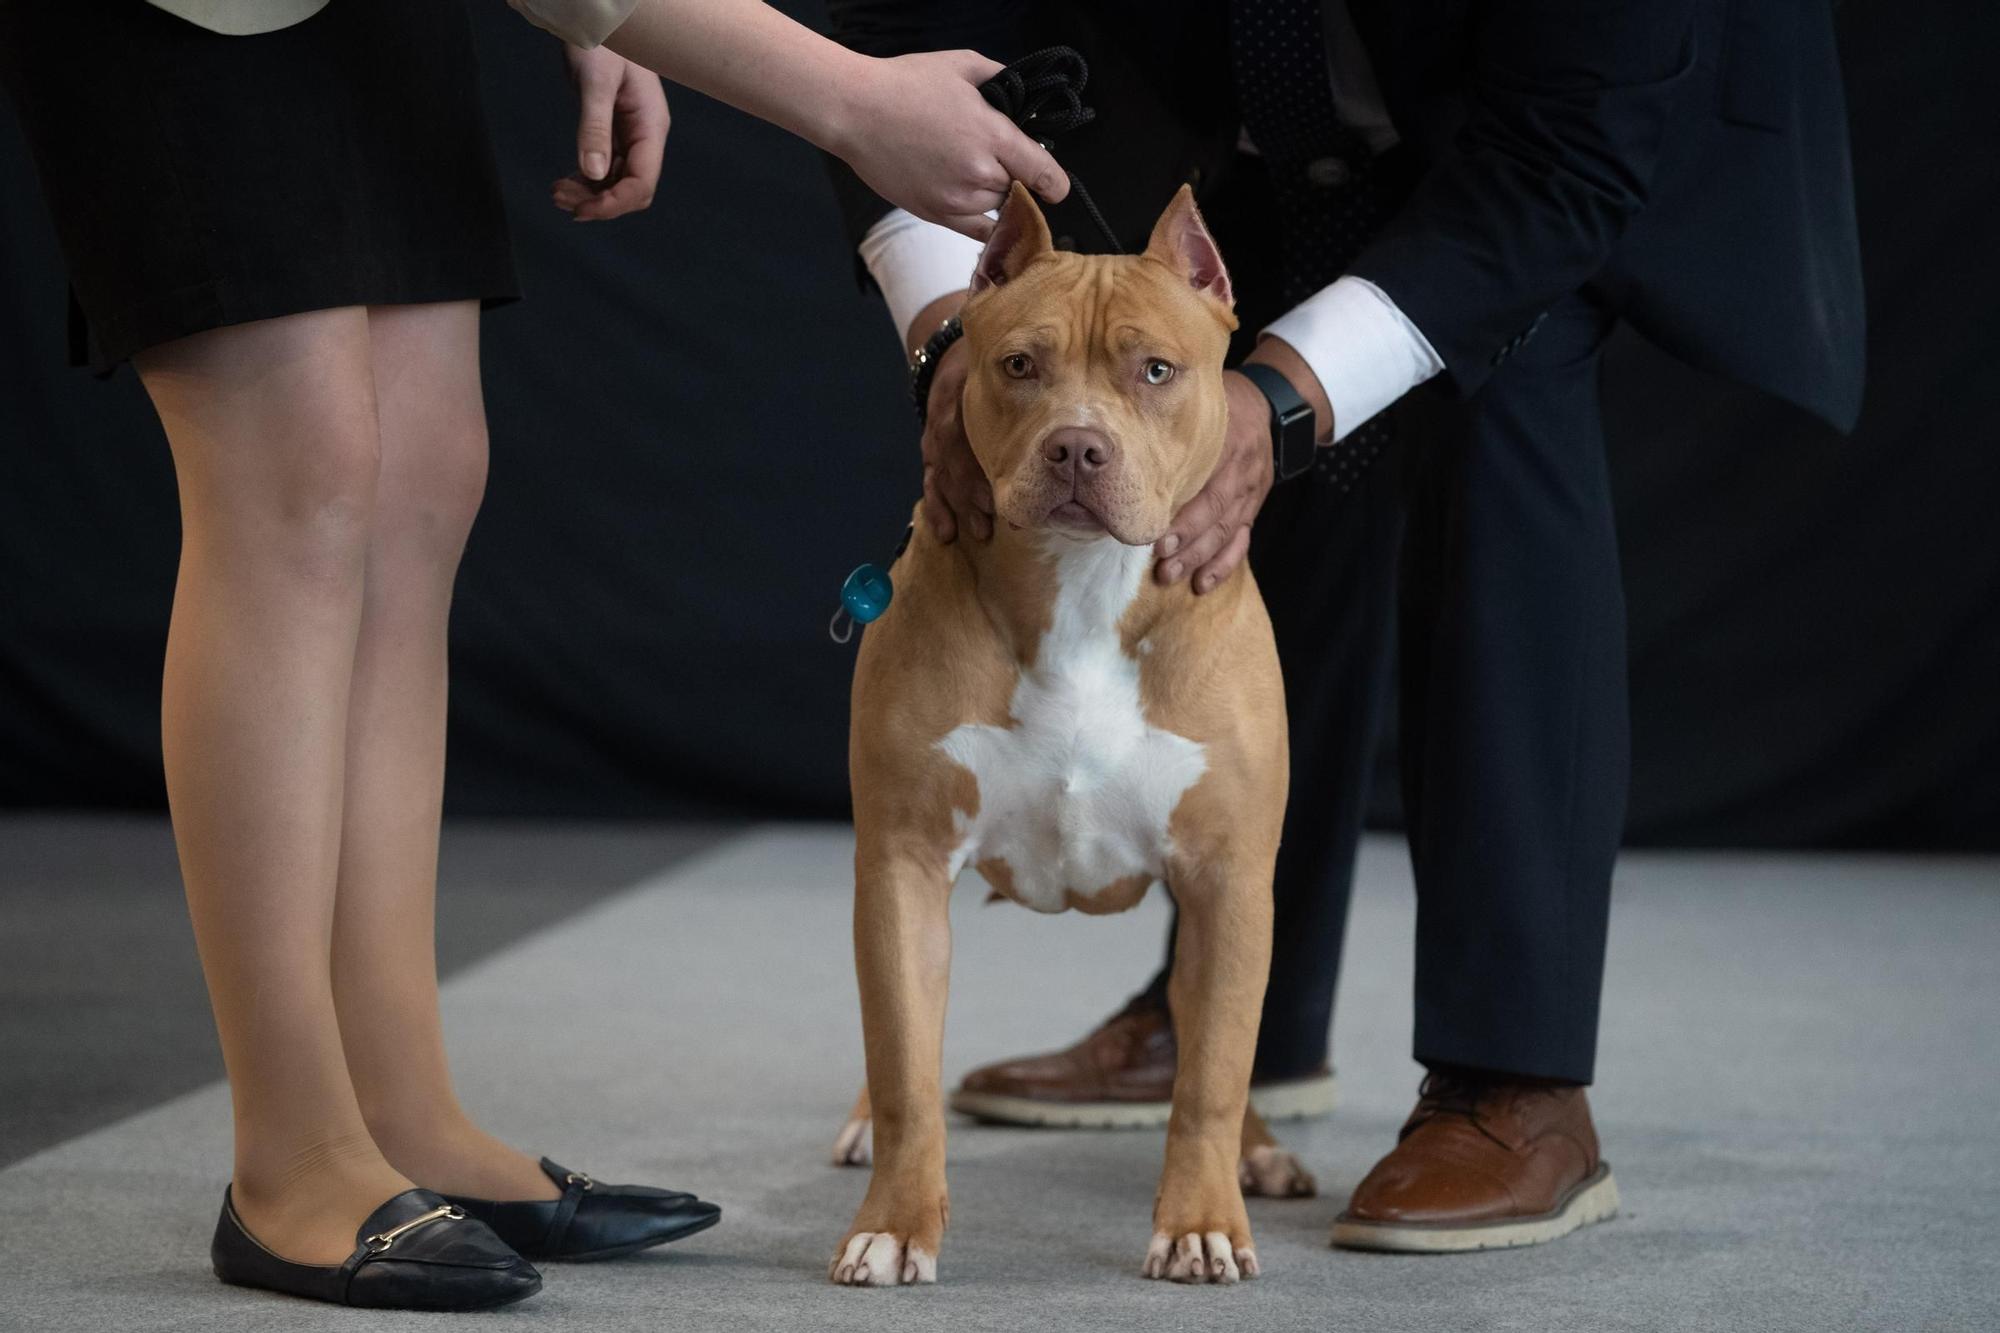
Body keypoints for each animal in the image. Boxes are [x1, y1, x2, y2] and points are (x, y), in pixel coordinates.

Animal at [828, 182, 1296, 1280]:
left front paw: (1200, 1221)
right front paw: (894, 1223)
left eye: (1156, 370)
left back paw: (1257, 1150)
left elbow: (1212, 1071)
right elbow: (904, 1059)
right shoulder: (904, 861)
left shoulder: (1226, 877)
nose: (1077, 446)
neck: (1081, 591)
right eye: (1018, 365)